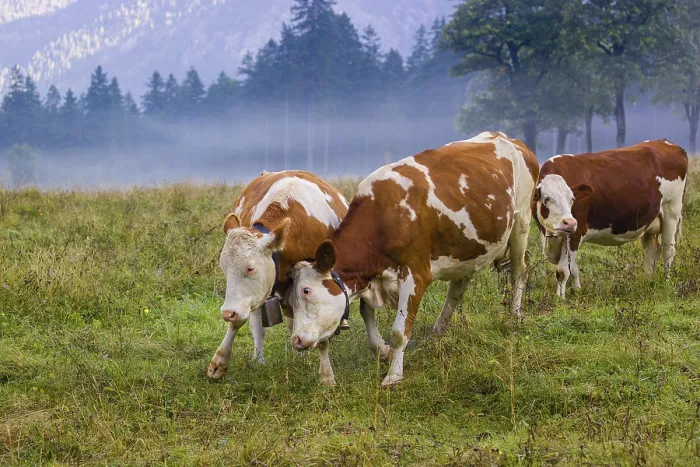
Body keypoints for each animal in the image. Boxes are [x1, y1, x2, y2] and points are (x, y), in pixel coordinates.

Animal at [206, 170, 349, 383]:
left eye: (250, 268)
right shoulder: (250, 297)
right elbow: (239, 321)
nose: (226, 313)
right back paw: (259, 359)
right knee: (258, 325)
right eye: (224, 267)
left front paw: (326, 377)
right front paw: (219, 362)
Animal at [285, 132, 539, 386]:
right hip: (466, 250)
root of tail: (508, 138)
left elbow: (399, 332)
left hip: (522, 221)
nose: (296, 340)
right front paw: (383, 351)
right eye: (290, 299)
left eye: (306, 291)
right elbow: (367, 314)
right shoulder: (371, 276)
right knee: (457, 289)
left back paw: (515, 315)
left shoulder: (415, 274)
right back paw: (438, 330)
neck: (384, 216)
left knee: (519, 270)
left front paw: (393, 375)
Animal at [532, 140, 688, 298]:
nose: (569, 223)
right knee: (651, 251)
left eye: (572, 199)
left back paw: (666, 282)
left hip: (671, 211)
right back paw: (648, 281)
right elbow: (573, 268)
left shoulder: (576, 232)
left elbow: (563, 271)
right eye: (546, 199)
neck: (551, 235)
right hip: (650, 222)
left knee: (668, 250)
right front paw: (577, 292)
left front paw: (560, 299)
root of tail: (665, 142)